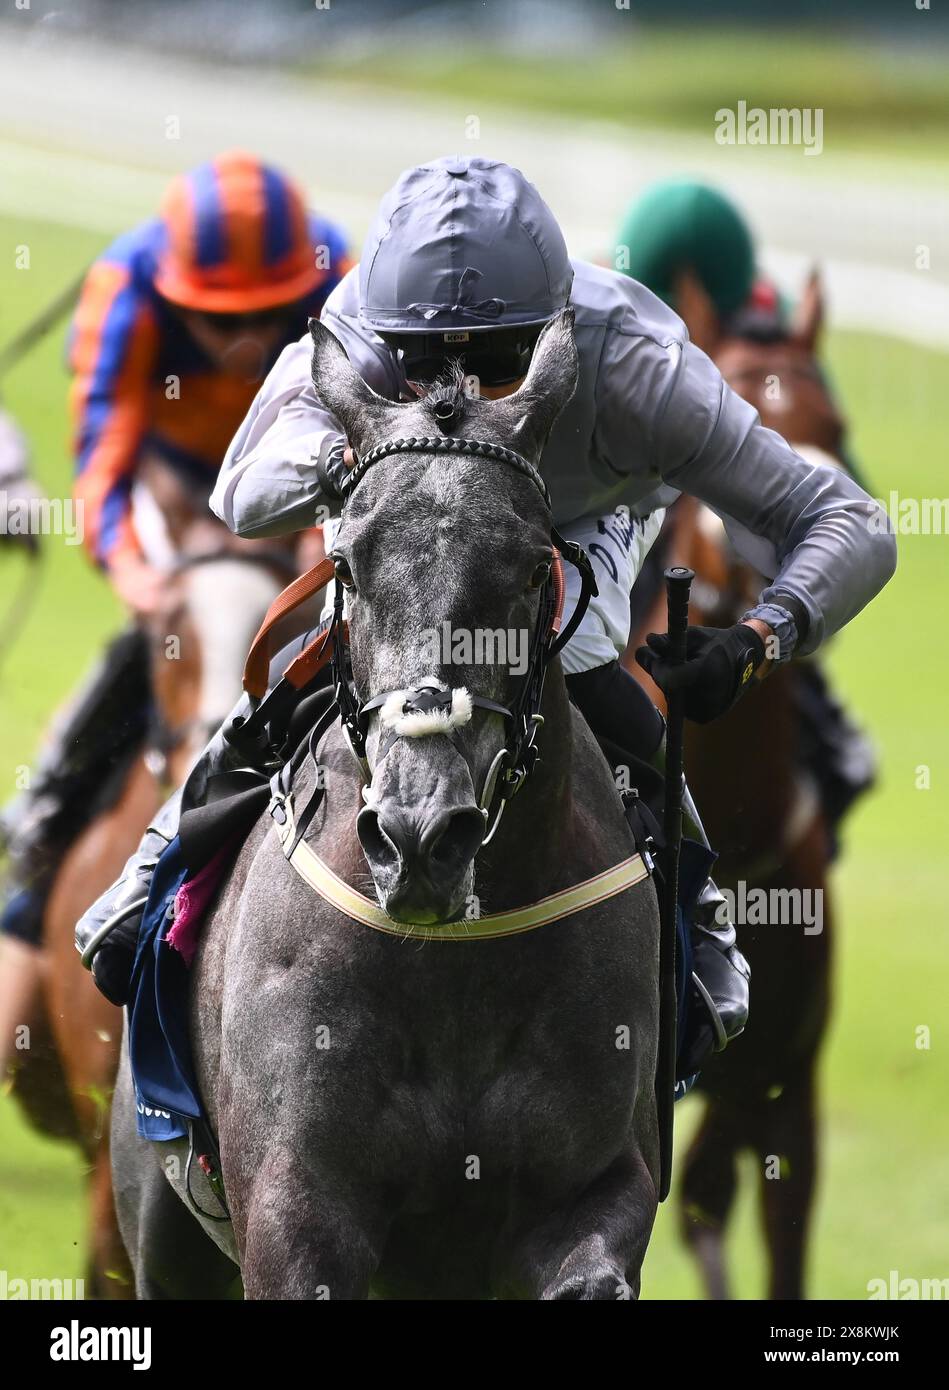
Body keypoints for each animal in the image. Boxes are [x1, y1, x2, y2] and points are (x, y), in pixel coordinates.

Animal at [107, 312, 664, 1301]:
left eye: (533, 571)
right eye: (346, 564)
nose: (419, 836)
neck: (457, 972)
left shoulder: (591, 1188)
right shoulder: (296, 1206)